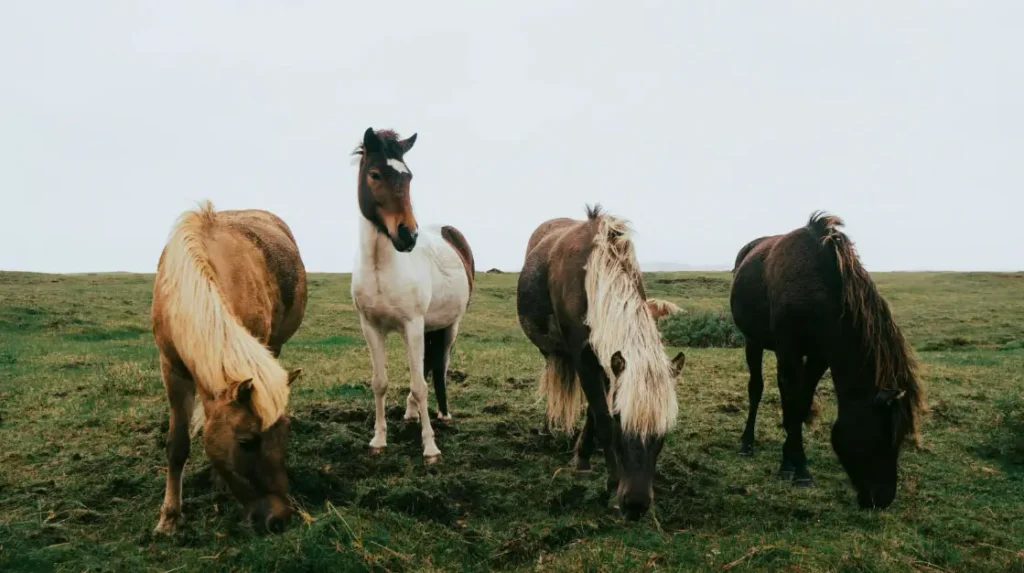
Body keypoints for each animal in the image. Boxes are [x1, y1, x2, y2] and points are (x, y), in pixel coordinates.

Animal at [151, 201, 307, 533]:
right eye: (246, 442)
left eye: (286, 432)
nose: (279, 519)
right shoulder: (172, 370)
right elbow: (177, 445)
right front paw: (169, 517)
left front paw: (217, 482)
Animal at [350, 127, 474, 464]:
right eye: (375, 174)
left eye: (409, 177)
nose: (408, 235)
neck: (381, 268)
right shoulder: (371, 328)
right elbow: (379, 383)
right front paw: (378, 440)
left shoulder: (413, 325)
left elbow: (421, 384)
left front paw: (430, 447)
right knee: (426, 367)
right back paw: (411, 412)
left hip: (448, 327)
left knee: (438, 367)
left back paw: (442, 414)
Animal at [516, 205, 685, 521]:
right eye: (621, 420)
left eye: (664, 431)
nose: (635, 506)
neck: (592, 274)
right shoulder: (583, 357)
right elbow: (602, 417)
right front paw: (611, 482)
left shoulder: (607, 362)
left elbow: (596, 411)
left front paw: (583, 456)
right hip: (552, 350)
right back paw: (547, 427)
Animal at [730, 212, 925, 509]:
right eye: (879, 436)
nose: (882, 499)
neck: (818, 289)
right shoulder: (789, 348)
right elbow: (793, 402)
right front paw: (799, 469)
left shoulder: (820, 355)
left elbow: (800, 402)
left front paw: (790, 459)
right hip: (752, 340)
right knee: (757, 388)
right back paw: (746, 443)